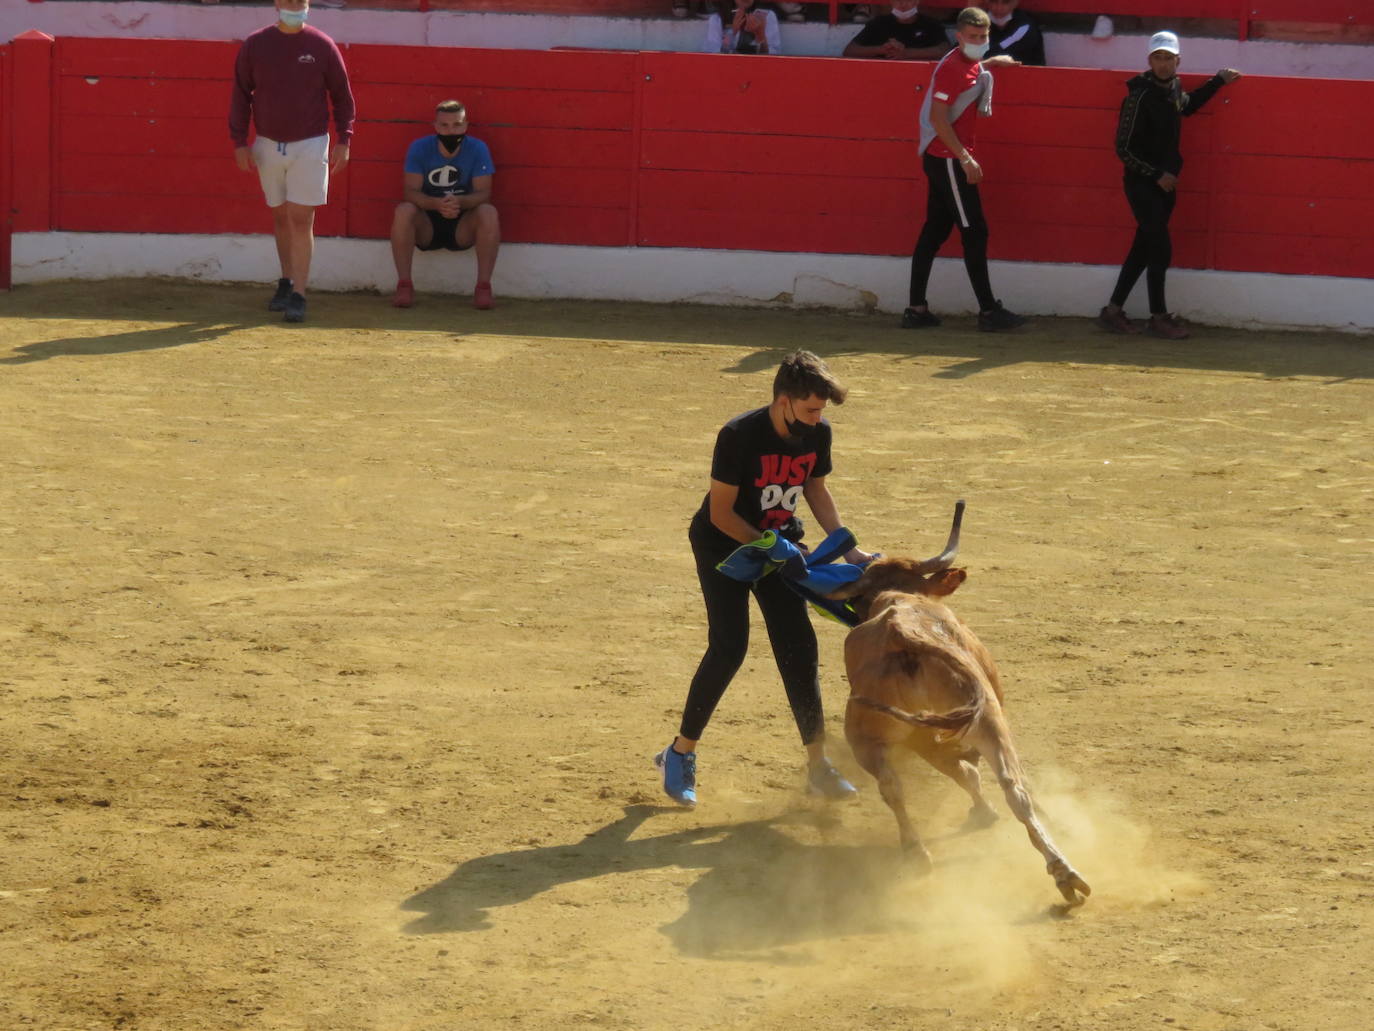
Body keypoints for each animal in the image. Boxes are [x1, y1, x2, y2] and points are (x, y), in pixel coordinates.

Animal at [824, 505, 1093, 907]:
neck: (898, 596)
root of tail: (903, 636)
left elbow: (963, 772)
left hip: (878, 735)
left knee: (896, 785)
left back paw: (920, 852)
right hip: (983, 722)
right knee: (1011, 785)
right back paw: (1062, 871)